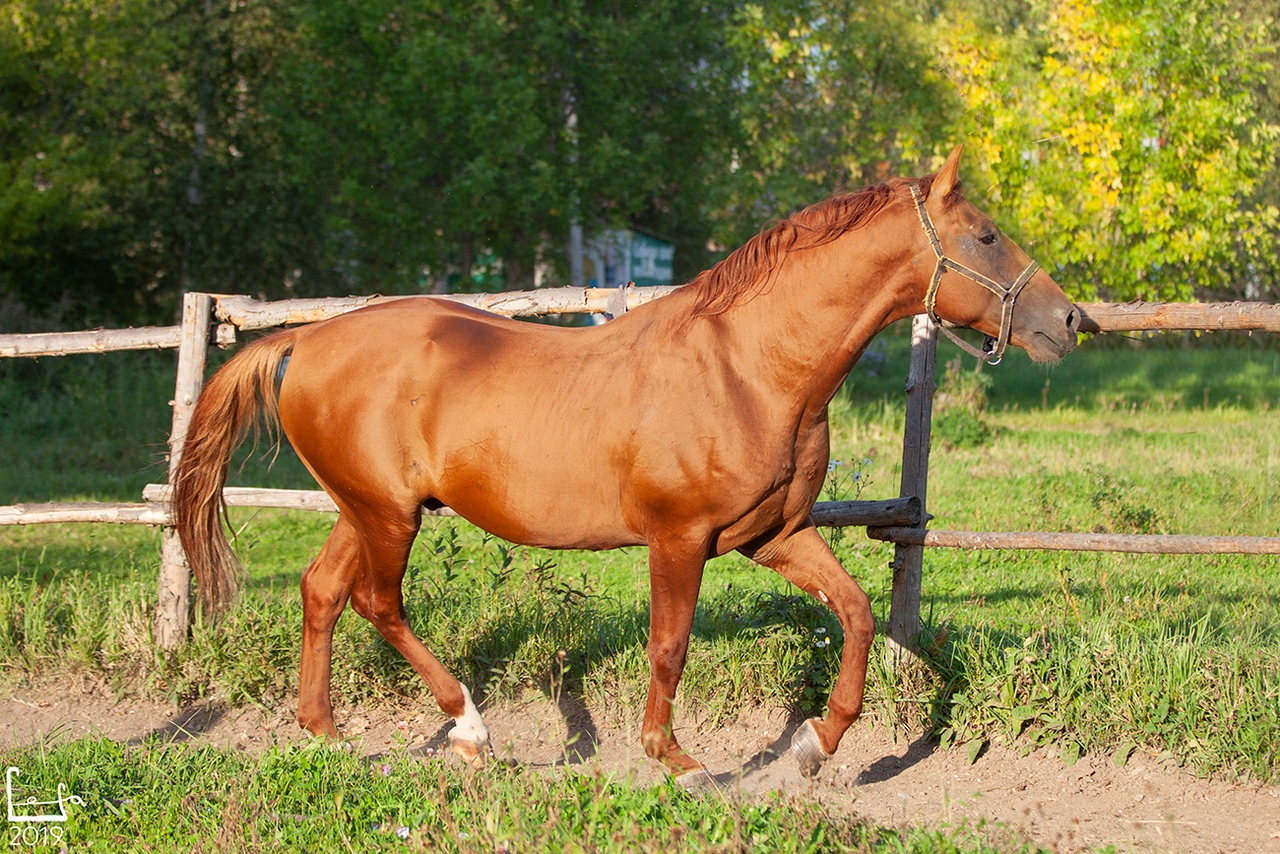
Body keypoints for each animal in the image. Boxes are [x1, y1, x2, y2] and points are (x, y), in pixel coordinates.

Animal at [167, 145, 1070, 783]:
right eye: (986, 236)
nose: (1070, 321)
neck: (749, 368)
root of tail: (306, 340)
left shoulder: (774, 536)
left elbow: (854, 613)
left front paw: (818, 743)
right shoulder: (680, 539)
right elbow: (669, 647)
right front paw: (676, 760)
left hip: (367, 510)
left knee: (323, 591)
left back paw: (324, 736)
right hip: (386, 514)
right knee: (376, 602)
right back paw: (470, 729)